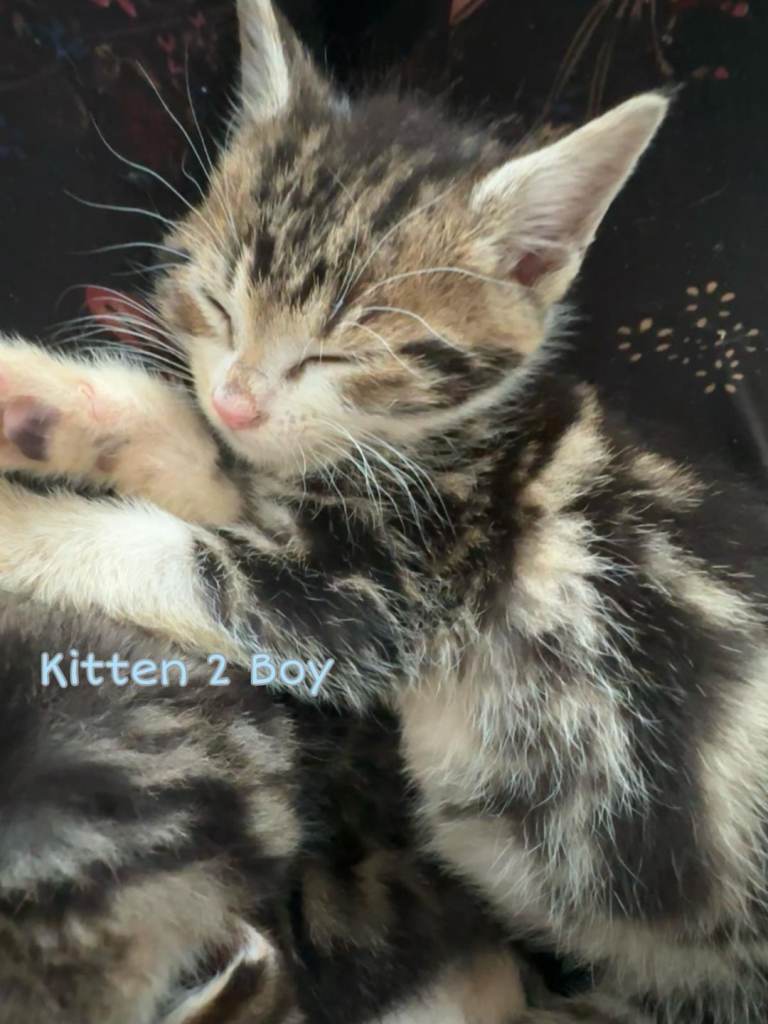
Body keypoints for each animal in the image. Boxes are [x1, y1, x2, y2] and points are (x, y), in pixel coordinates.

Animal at [0, 0, 766, 1021]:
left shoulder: (374, 596)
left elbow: (170, 550)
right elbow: (195, 455)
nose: (239, 399)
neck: (456, 439)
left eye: (338, 356)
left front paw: (17, 523)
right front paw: (37, 401)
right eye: (217, 304)